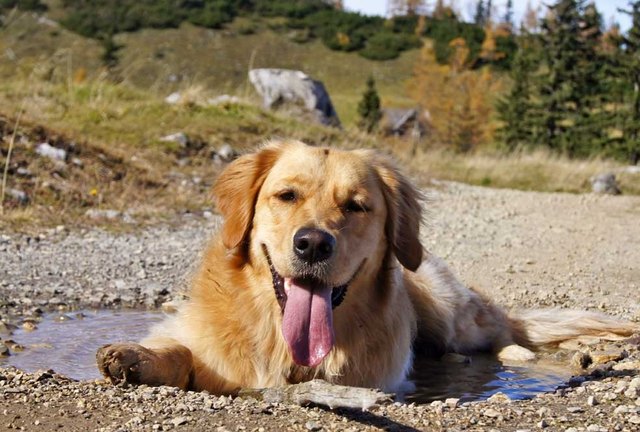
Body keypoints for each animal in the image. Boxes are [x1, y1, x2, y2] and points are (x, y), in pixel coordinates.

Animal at [97, 141, 636, 394]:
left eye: (356, 206)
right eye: (286, 195)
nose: (313, 244)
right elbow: (182, 352)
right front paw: (135, 358)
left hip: (444, 304)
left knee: (504, 331)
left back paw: (525, 354)